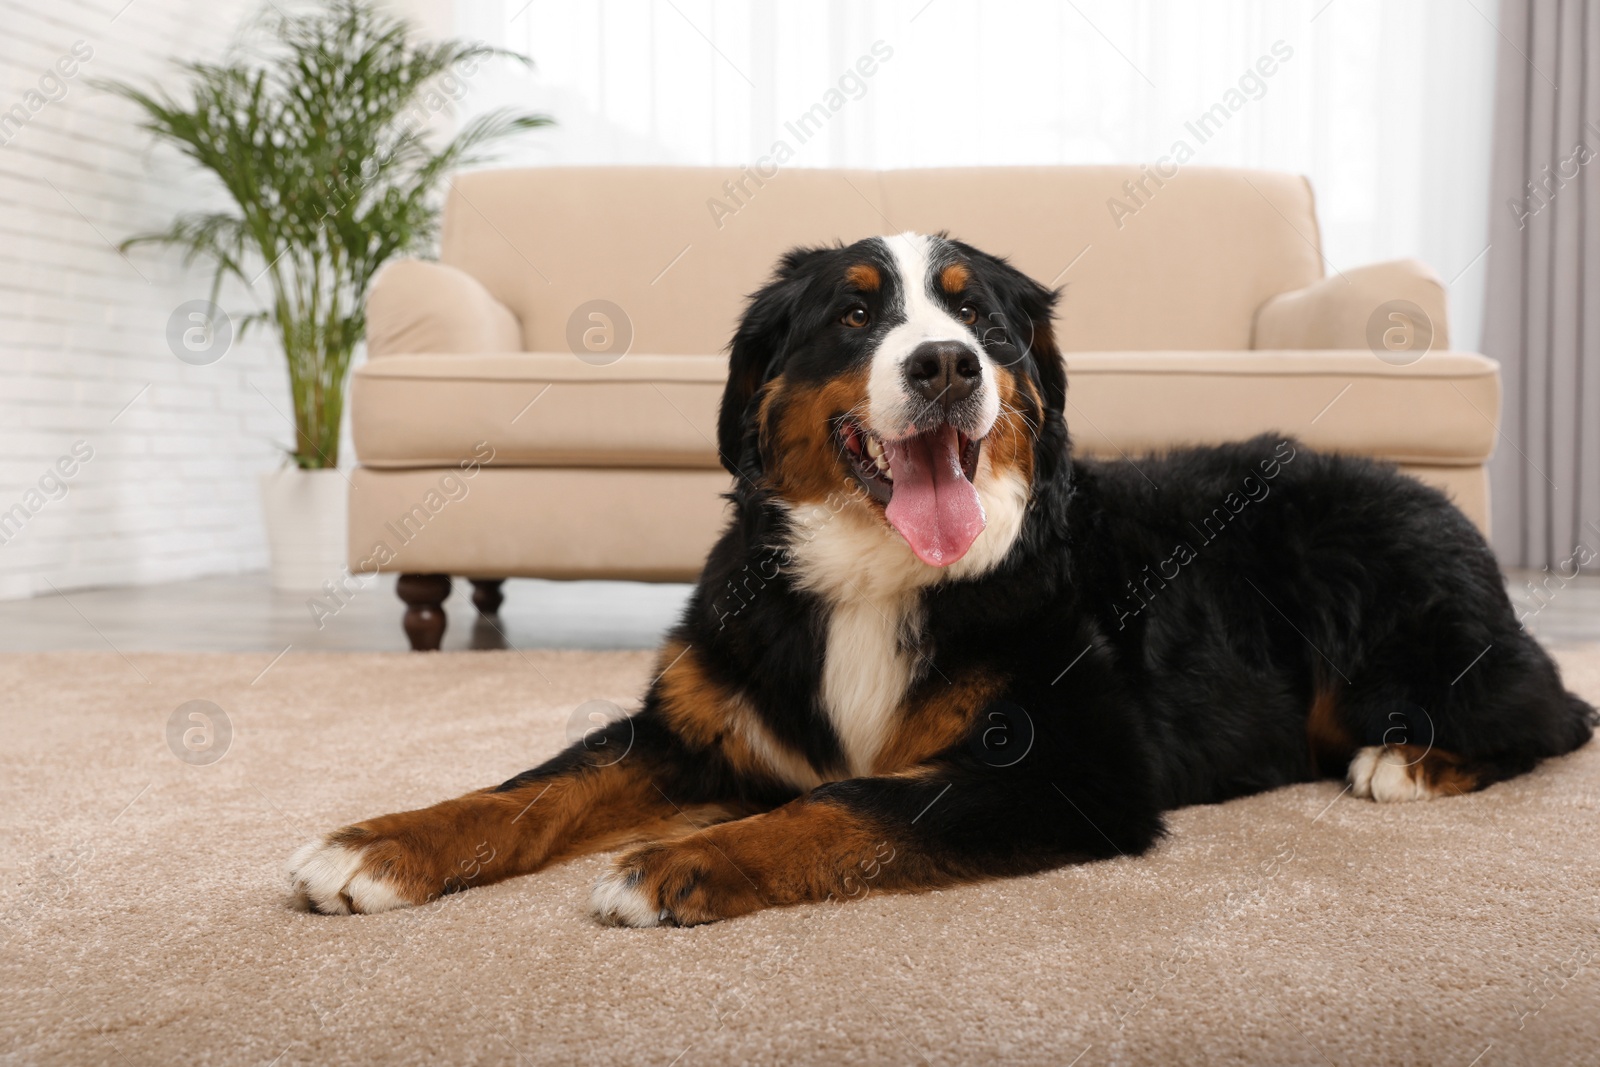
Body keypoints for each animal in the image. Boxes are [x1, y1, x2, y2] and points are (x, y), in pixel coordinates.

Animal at [291, 233, 1600, 927]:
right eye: (854, 314)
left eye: (990, 326)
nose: (945, 365)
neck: (874, 577)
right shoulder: (696, 725)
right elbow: (529, 787)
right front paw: (376, 842)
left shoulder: (1071, 769)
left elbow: (853, 802)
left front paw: (681, 862)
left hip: (1395, 625)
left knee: (1546, 711)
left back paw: (1408, 761)